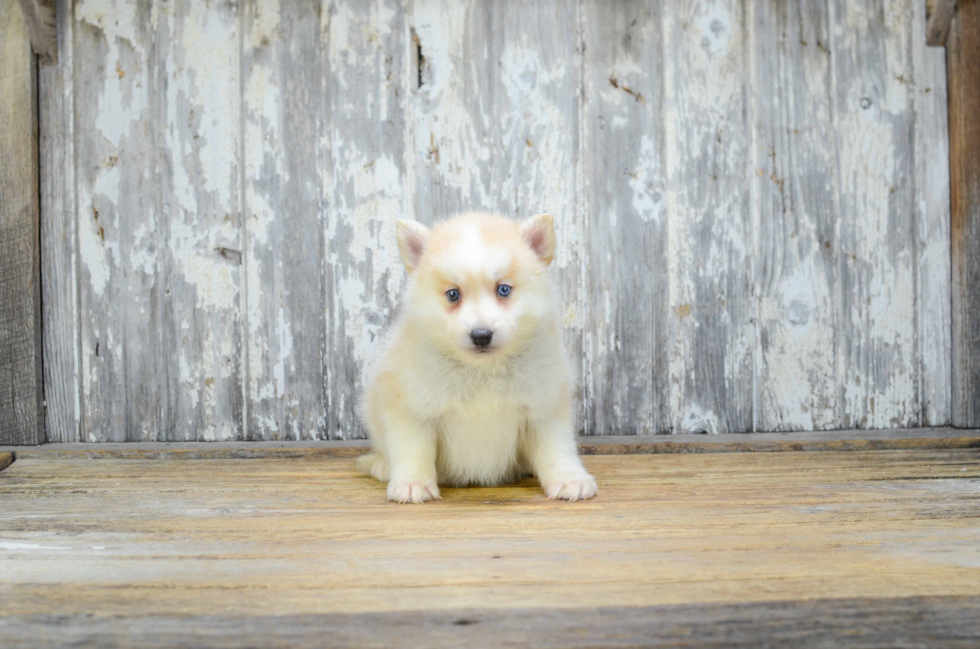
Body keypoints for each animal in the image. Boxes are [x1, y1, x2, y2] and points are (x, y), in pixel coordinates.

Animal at [358, 210, 596, 504]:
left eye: (503, 289)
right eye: (453, 294)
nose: (481, 335)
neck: (482, 370)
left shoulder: (544, 407)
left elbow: (557, 448)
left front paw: (569, 479)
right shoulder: (412, 409)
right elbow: (413, 450)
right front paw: (412, 483)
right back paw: (381, 465)